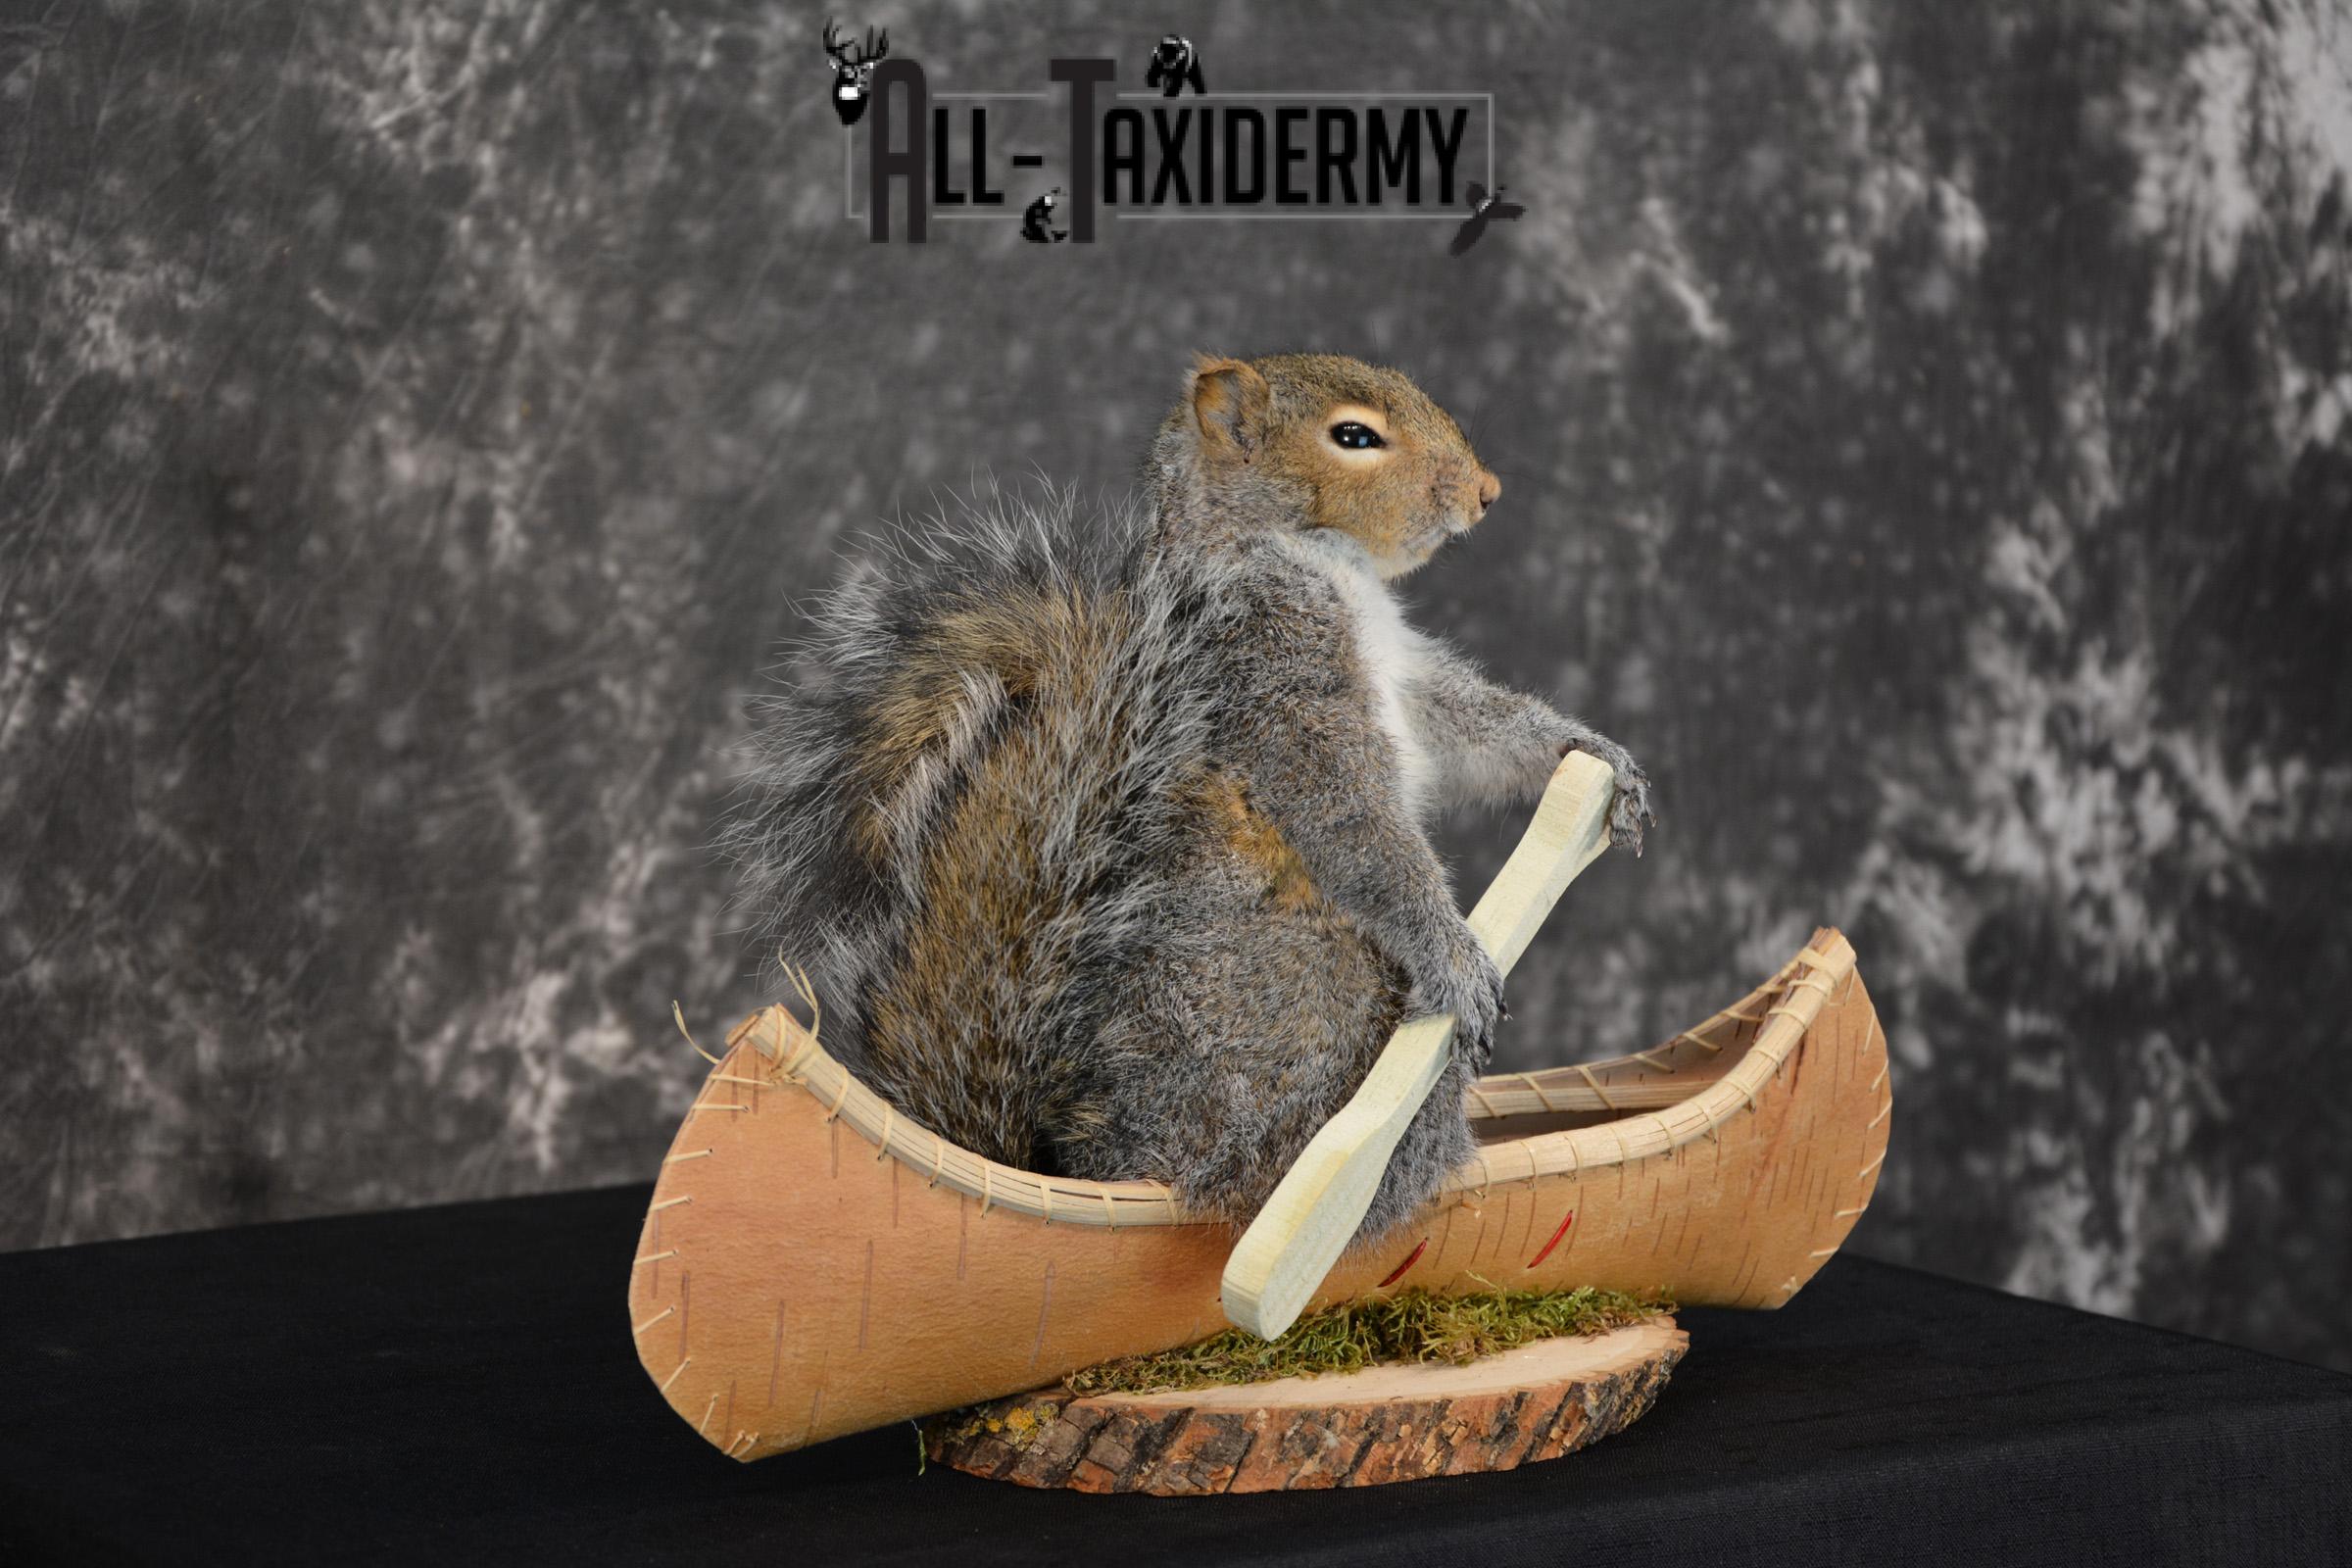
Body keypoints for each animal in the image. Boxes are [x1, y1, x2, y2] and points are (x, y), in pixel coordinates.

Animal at [723, 353, 1655, 1244]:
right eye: (1353, 437)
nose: (1487, 491)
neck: (1318, 563)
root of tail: (1119, 1158)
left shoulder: (1409, 687)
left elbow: (1471, 730)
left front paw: (1591, 755)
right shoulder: (1279, 679)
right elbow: (1353, 824)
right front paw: (1454, 955)